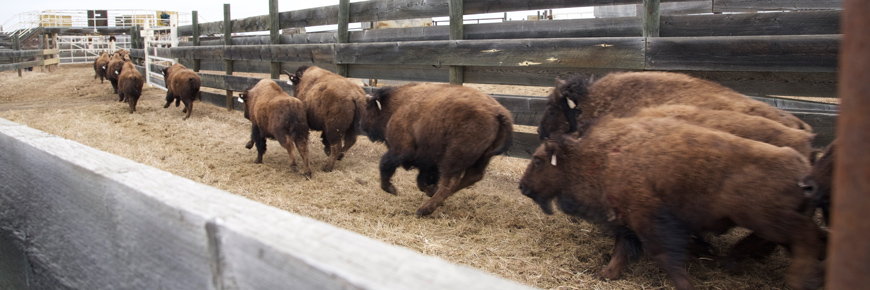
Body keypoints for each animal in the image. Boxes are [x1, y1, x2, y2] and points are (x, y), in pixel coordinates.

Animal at [362, 83, 516, 215]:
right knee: (471, 177)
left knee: (449, 182)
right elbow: (421, 180)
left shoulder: (401, 150)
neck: (397, 105)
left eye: (368, 109)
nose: (362, 125)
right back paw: (434, 198)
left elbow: (385, 165)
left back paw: (423, 210)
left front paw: (391, 189)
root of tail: (498, 113)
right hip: (483, 158)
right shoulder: (429, 162)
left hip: (454, 157)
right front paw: (429, 190)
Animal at [520, 116, 828, 290]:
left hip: (772, 221)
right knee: (813, 239)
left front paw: (686, 284)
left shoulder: (647, 219)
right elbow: (623, 249)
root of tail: (801, 165)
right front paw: (606, 274)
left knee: (807, 236)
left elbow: (664, 255)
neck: (599, 155)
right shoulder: (628, 221)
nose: (523, 187)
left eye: (538, 160)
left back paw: (797, 279)